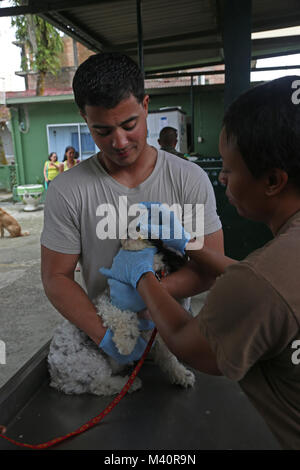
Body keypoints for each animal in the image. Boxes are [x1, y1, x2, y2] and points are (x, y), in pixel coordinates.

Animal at [47, 237, 196, 394]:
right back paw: (129, 383)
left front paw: (182, 375)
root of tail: (56, 377)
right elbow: (125, 317)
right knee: (99, 384)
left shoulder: (156, 336)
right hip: (91, 362)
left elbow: (168, 358)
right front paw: (126, 343)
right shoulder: (107, 304)